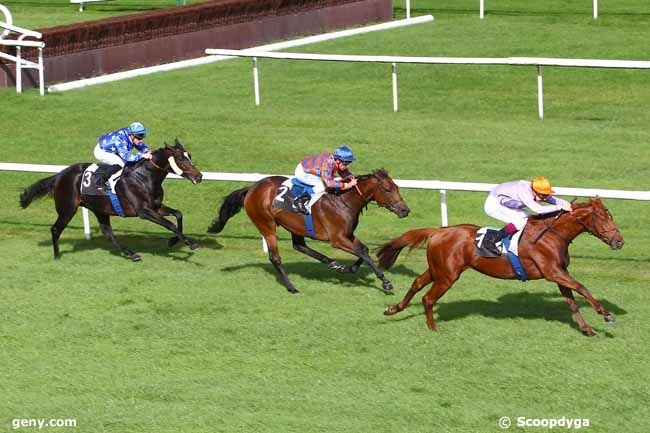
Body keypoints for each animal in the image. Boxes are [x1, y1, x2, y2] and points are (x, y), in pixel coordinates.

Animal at [19, 139, 201, 260]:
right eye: (181, 159)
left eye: (190, 156)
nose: (199, 176)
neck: (144, 177)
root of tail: (59, 176)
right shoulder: (144, 211)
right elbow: (169, 224)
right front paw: (190, 243)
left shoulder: (156, 207)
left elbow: (178, 214)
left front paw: (174, 241)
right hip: (67, 209)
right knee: (55, 229)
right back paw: (57, 256)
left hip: (99, 209)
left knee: (108, 233)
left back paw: (131, 254)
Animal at [206, 169, 410, 294]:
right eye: (387, 189)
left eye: (397, 187)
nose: (405, 210)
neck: (344, 201)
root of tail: (252, 188)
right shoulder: (337, 239)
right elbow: (363, 253)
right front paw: (385, 282)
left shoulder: (347, 235)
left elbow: (364, 250)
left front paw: (350, 267)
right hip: (266, 224)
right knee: (275, 257)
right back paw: (292, 287)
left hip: (294, 226)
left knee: (300, 246)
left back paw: (334, 264)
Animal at [374, 197, 624, 336]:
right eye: (603, 218)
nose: (619, 241)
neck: (552, 234)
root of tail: (437, 231)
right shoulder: (553, 272)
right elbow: (582, 287)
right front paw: (606, 315)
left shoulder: (559, 274)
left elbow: (572, 301)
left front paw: (586, 329)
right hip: (447, 275)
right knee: (428, 298)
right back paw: (433, 329)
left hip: (438, 270)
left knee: (417, 284)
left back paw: (393, 309)